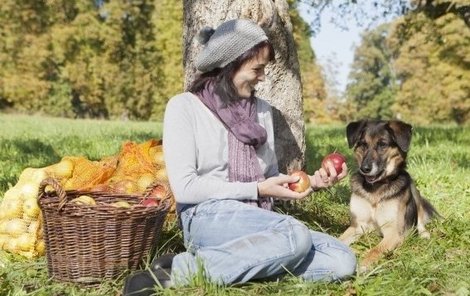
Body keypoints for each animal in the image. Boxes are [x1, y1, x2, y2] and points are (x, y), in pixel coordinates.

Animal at [340, 119, 438, 270]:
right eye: (363, 144)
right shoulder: (357, 225)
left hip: (413, 190)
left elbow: (376, 249)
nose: (365, 169)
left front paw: (364, 264)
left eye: (382, 145)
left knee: (420, 218)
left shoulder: (393, 233)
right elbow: (338, 240)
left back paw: (424, 234)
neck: (376, 188)